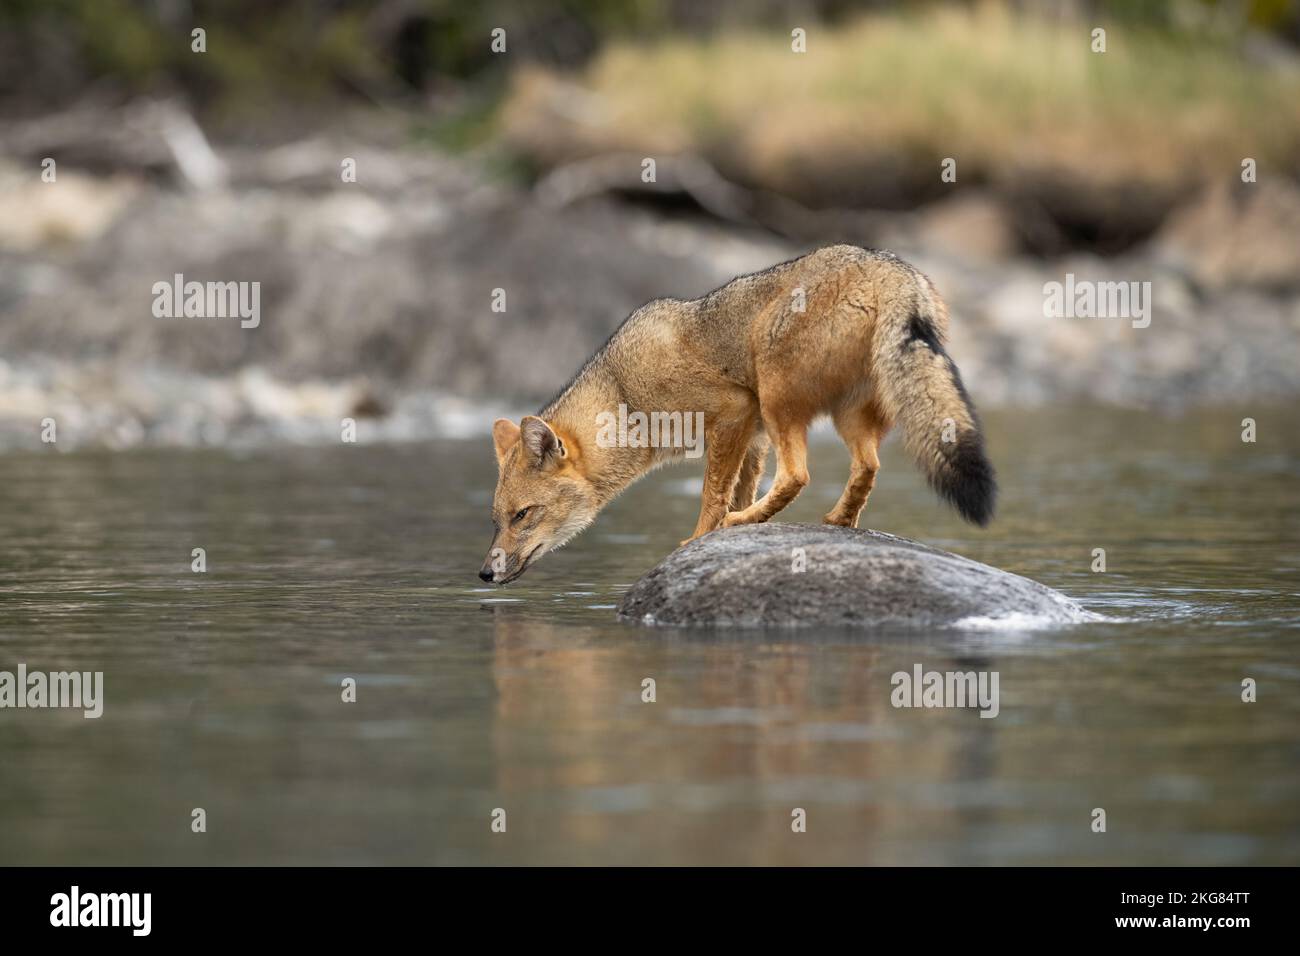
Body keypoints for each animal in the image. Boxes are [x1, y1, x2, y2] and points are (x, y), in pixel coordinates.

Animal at [479, 244, 995, 585]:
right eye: (496, 520)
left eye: (523, 514)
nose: (484, 572)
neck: (623, 390)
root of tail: (895, 273)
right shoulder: (754, 435)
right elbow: (738, 489)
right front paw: (743, 526)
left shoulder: (735, 413)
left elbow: (713, 496)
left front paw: (700, 539)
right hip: (842, 418)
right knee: (866, 467)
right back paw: (837, 522)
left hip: (778, 399)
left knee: (798, 476)